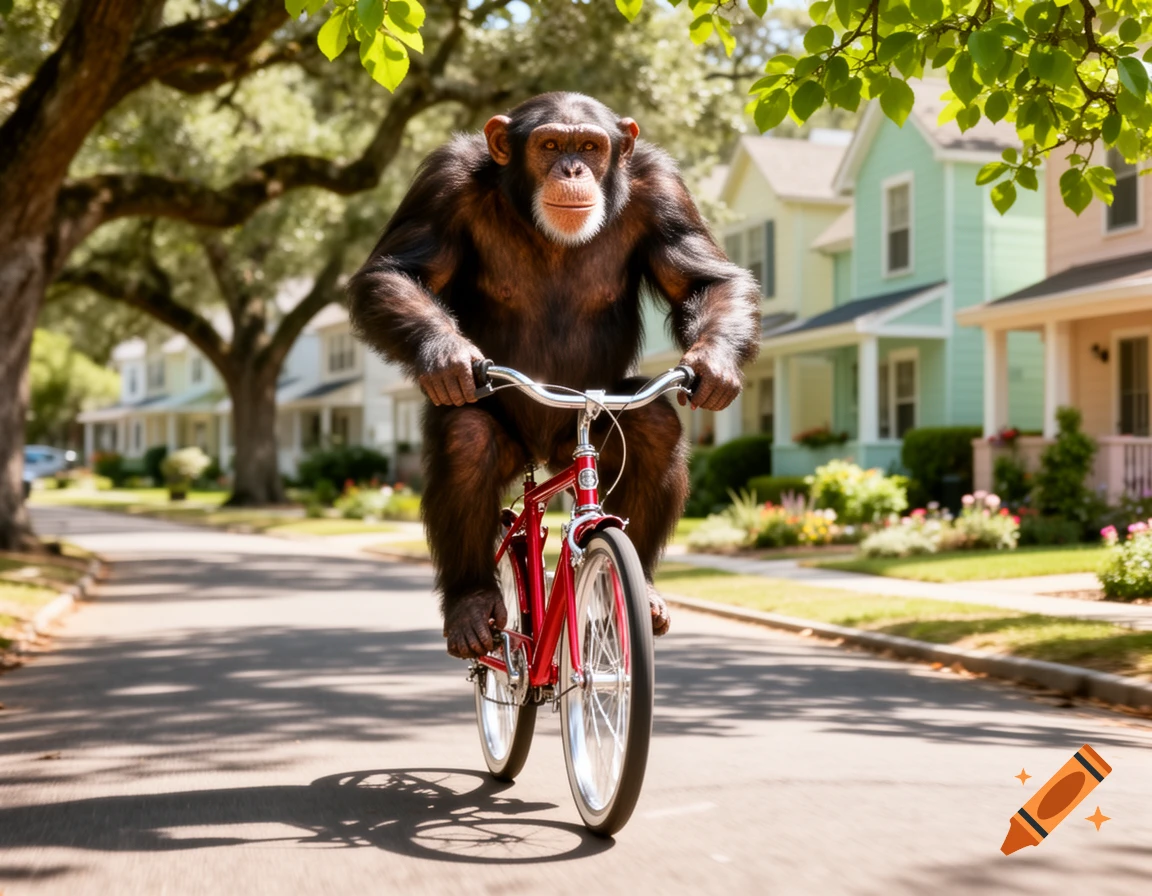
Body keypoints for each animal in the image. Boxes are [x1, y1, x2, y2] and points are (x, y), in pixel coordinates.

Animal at [348, 92, 760, 658]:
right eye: (549, 145)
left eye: (589, 146)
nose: (572, 169)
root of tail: (543, 456)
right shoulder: (443, 179)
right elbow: (395, 272)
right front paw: (447, 356)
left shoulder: (665, 190)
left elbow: (702, 280)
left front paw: (713, 367)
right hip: (517, 449)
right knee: (467, 439)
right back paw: (471, 606)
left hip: (587, 428)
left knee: (654, 427)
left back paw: (643, 593)